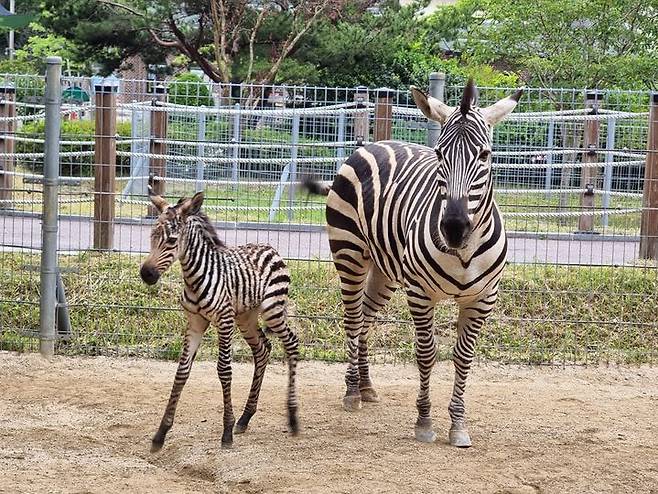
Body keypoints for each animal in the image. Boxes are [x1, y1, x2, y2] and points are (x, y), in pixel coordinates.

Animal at [141, 185, 300, 452]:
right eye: (151, 236)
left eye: (171, 240)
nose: (146, 274)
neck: (194, 279)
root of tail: (270, 247)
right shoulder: (195, 322)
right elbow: (182, 371)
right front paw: (160, 434)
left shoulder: (224, 320)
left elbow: (224, 370)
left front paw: (226, 431)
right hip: (246, 318)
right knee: (263, 350)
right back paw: (246, 417)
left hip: (273, 310)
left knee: (292, 344)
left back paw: (292, 417)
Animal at [304, 82, 524, 448]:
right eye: (439, 154)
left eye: (485, 155)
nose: (454, 228)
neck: (464, 251)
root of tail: (374, 143)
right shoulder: (420, 293)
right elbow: (426, 353)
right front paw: (424, 422)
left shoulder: (483, 299)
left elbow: (463, 357)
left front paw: (458, 425)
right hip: (349, 253)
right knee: (353, 319)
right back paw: (352, 391)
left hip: (385, 270)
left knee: (366, 318)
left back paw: (366, 386)